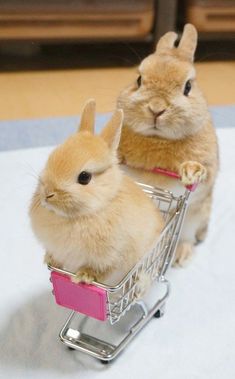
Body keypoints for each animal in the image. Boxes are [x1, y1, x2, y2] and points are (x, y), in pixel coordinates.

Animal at [29, 99, 164, 286]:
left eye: (84, 177)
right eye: (51, 157)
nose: (47, 194)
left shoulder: (113, 256)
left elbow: (103, 270)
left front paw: (84, 276)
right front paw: (49, 259)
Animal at [117, 23, 218, 268]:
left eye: (188, 87)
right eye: (139, 80)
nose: (156, 108)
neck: (158, 139)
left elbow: (200, 174)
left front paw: (189, 173)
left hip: (194, 217)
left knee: (188, 237)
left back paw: (180, 256)